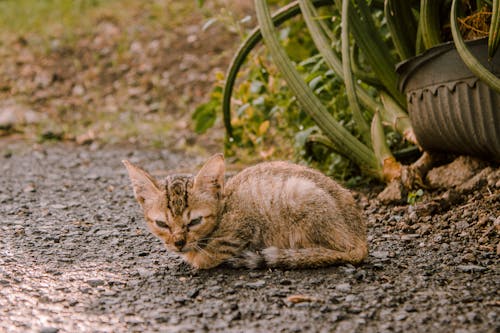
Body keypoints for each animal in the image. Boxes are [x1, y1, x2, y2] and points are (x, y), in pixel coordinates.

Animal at [123, 154, 368, 268]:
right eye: (162, 224)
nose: (178, 242)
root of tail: (361, 238)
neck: (224, 209)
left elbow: (205, 257)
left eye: (194, 221)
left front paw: (196, 257)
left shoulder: (240, 230)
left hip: (300, 195)